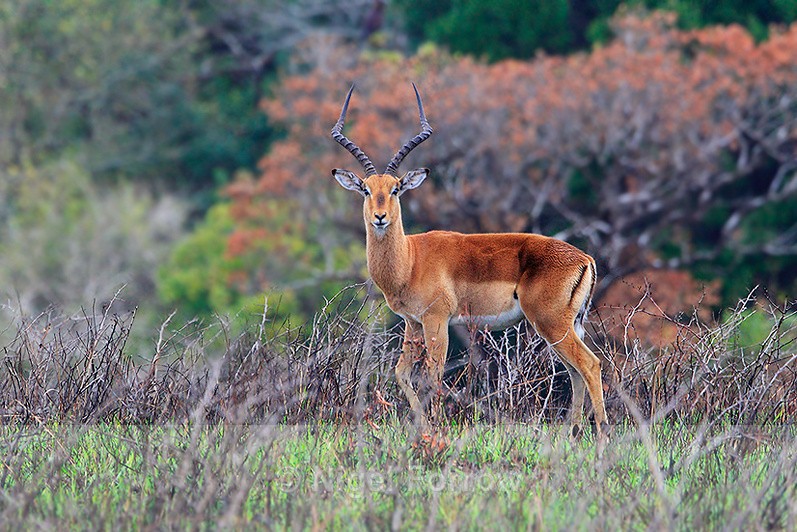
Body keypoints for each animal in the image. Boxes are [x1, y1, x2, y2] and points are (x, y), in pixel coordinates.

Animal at [330, 84, 608, 438]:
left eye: (396, 189)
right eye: (366, 189)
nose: (380, 217)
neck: (411, 259)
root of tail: (585, 257)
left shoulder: (437, 320)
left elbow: (433, 374)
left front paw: (435, 430)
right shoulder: (412, 322)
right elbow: (402, 372)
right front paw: (422, 428)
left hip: (550, 322)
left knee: (589, 364)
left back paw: (602, 433)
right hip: (568, 325)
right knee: (575, 371)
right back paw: (570, 434)